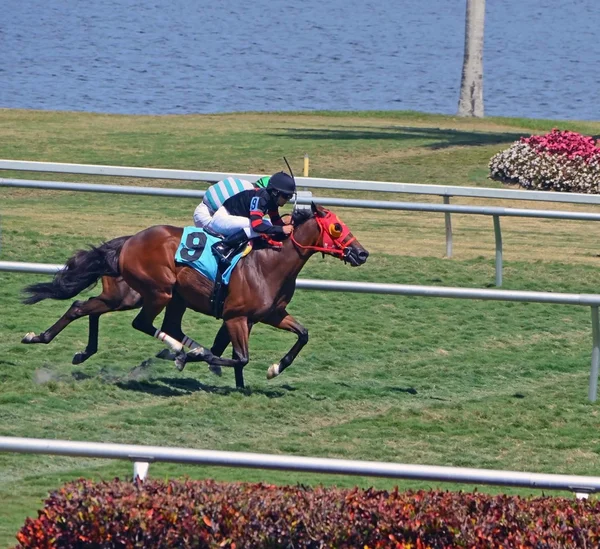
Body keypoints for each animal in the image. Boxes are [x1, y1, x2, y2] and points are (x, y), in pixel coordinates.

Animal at [21, 203, 368, 388]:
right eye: (337, 228)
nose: (361, 253)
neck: (268, 263)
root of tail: (129, 240)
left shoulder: (267, 315)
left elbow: (302, 334)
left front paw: (271, 370)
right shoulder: (236, 317)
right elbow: (237, 355)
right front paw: (196, 359)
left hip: (133, 296)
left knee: (84, 307)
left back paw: (56, 342)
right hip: (159, 292)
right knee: (141, 323)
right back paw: (178, 351)